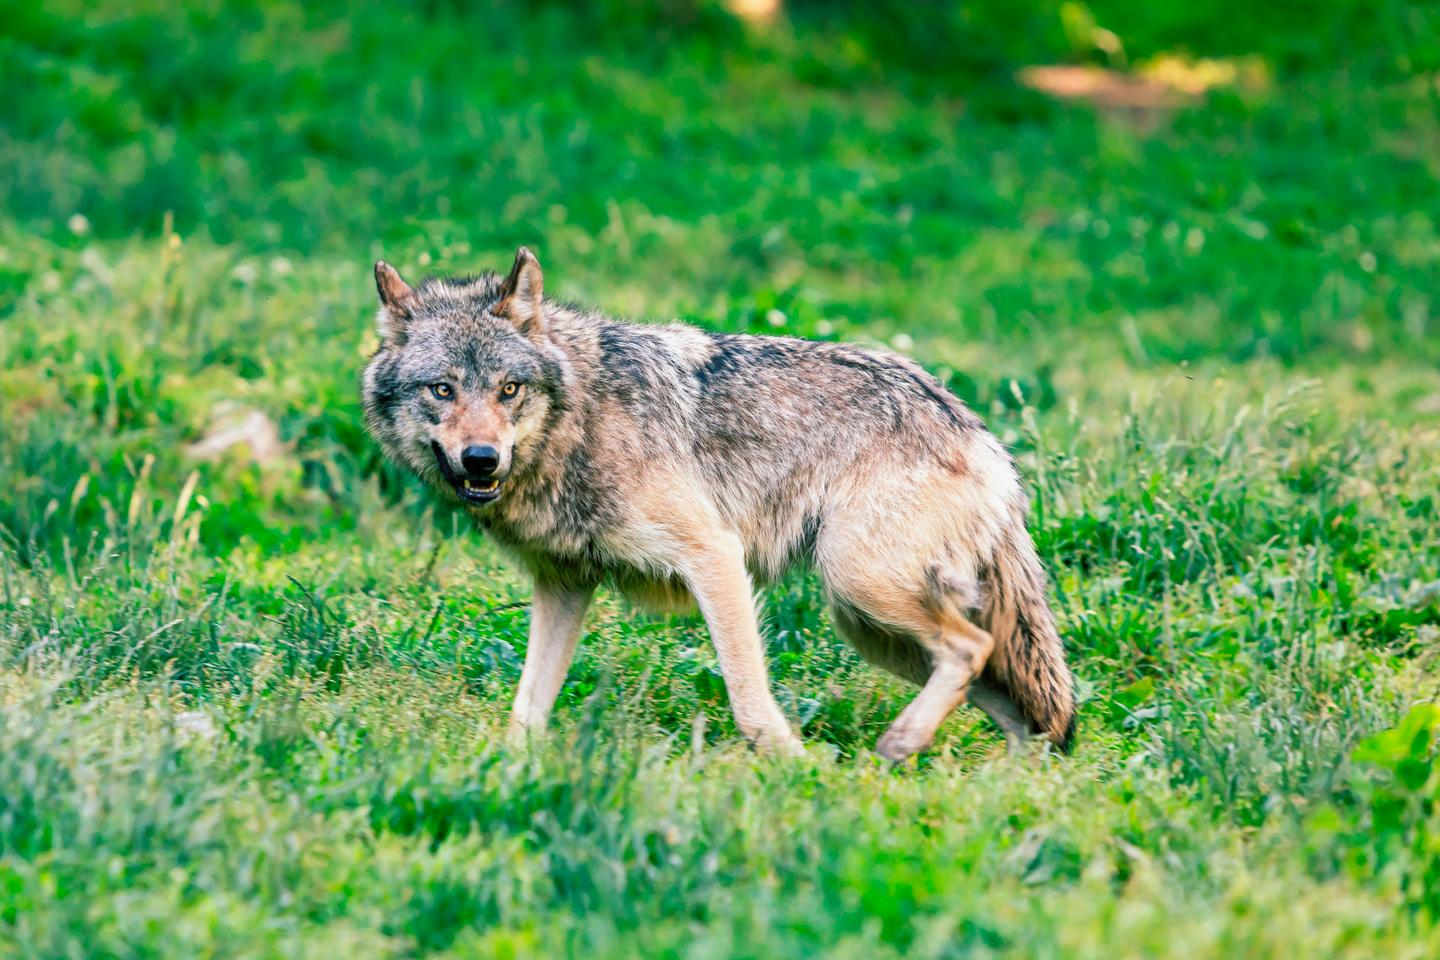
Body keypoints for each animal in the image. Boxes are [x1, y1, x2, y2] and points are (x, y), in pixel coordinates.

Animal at [362, 248, 1075, 760]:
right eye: (442, 389)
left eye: (509, 389)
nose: (482, 459)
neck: (581, 422)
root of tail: (978, 433)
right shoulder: (563, 587)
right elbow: (527, 709)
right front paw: (507, 772)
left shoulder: (715, 556)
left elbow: (748, 698)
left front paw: (796, 768)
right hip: (867, 624)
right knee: (1015, 697)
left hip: (862, 590)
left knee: (973, 648)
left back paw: (901, 745)